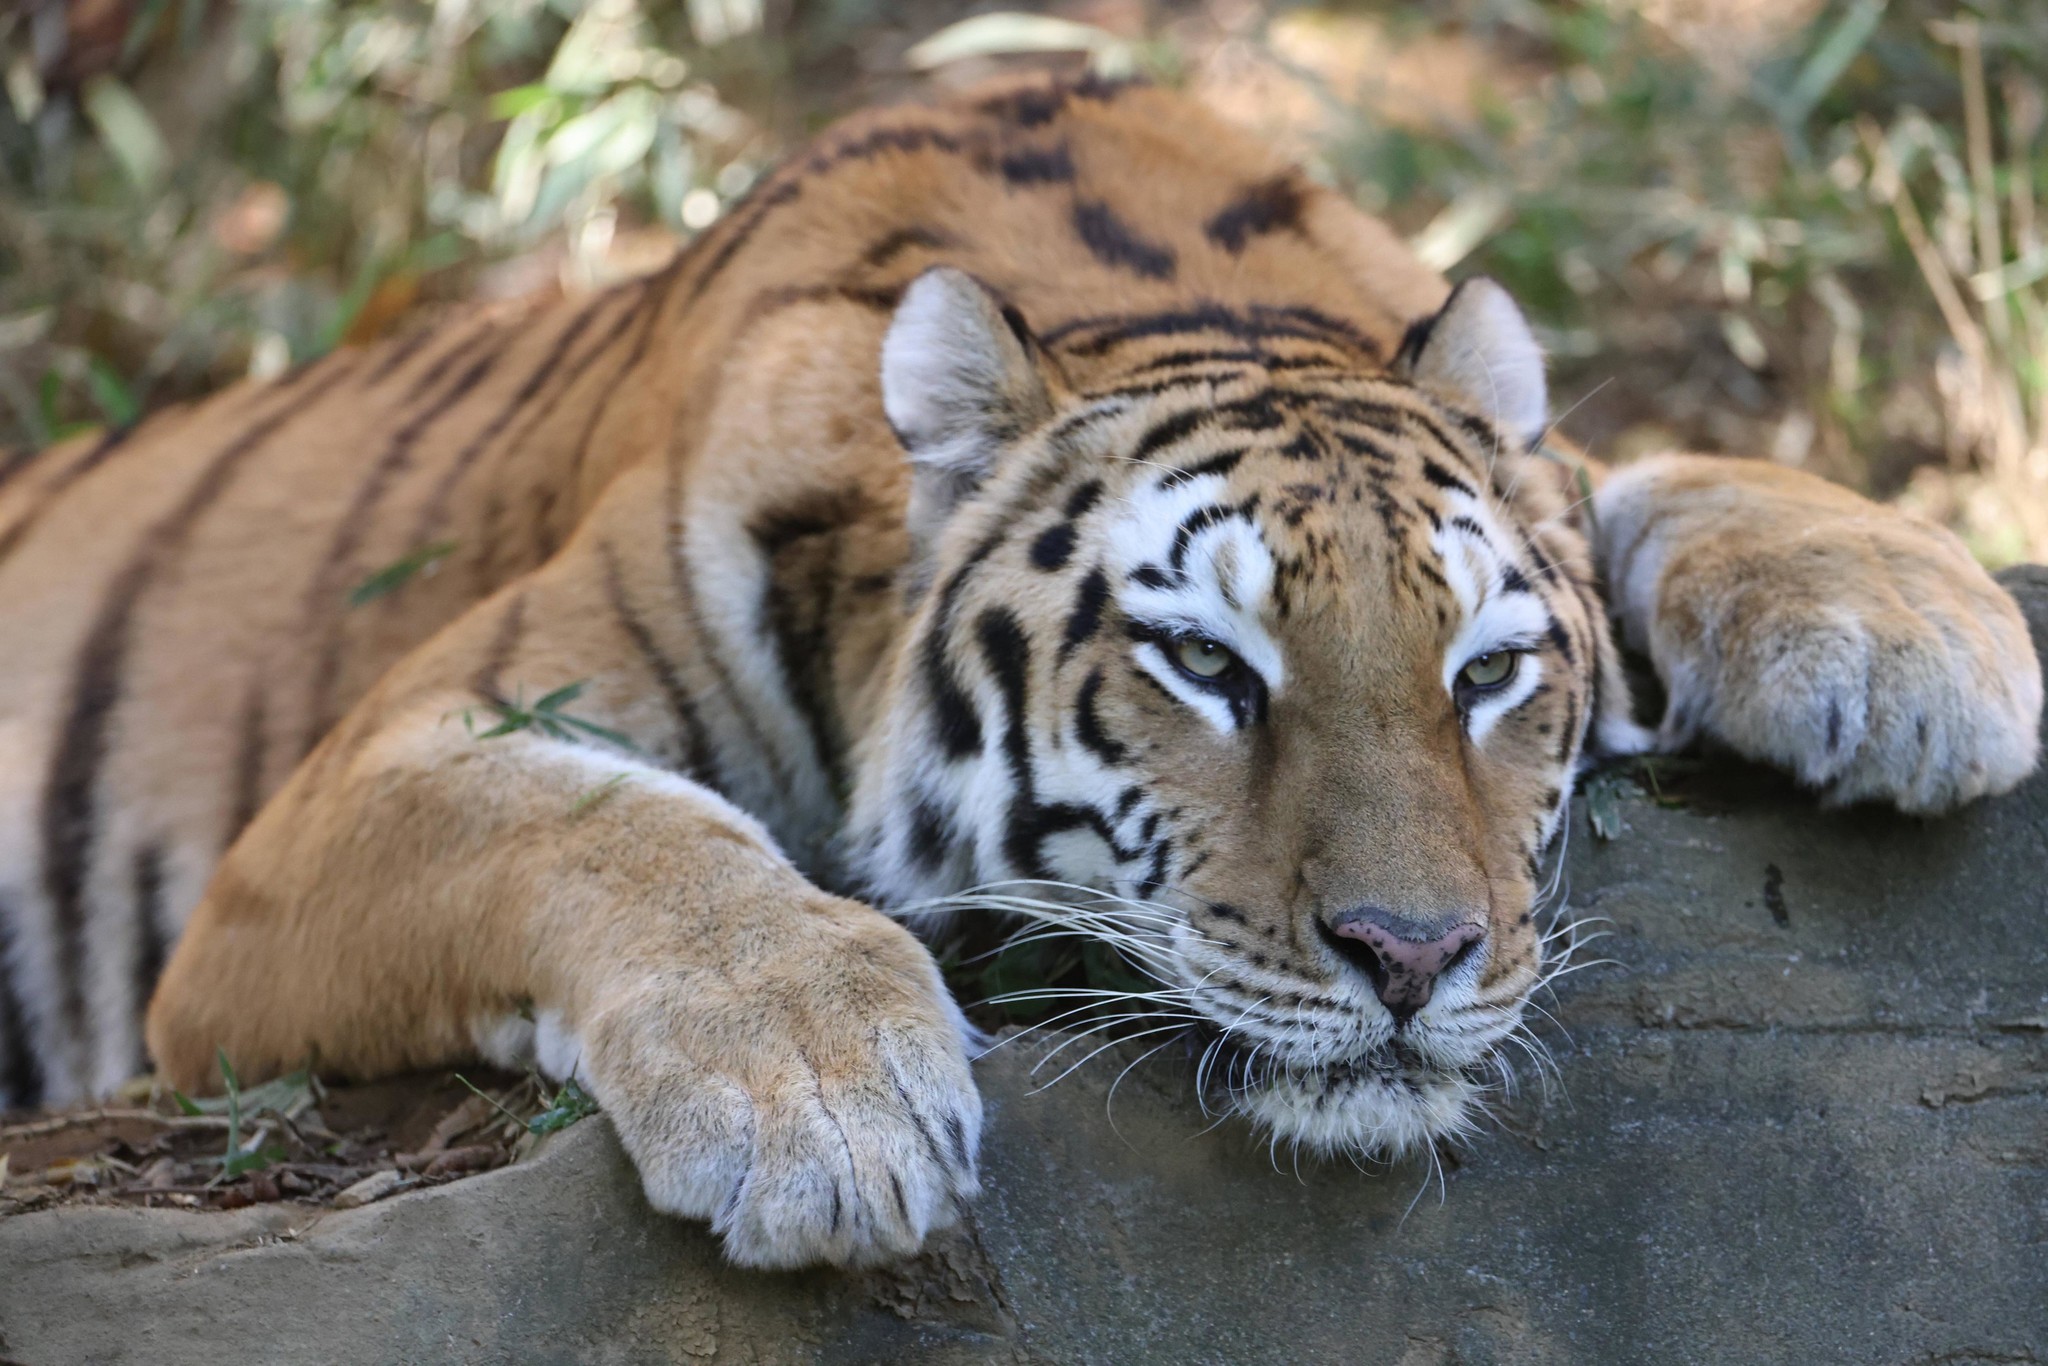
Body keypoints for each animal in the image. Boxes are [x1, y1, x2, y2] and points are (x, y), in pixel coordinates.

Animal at [0, 77, 2039, 1269]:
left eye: (1484, 675)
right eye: (1205, 663)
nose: (1411, 959)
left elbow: (1642, 468)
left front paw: (1911, 629)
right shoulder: (368, 785)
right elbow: (606, 832)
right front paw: (818, 1093)